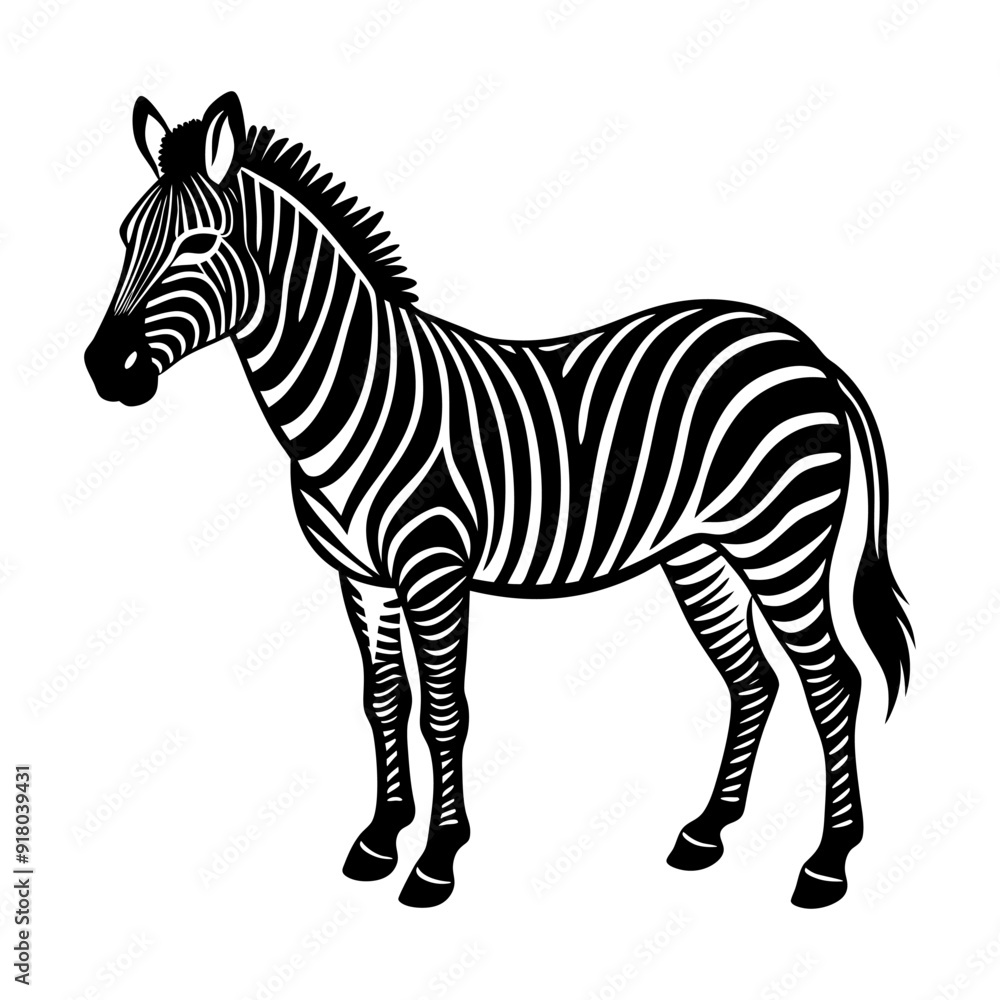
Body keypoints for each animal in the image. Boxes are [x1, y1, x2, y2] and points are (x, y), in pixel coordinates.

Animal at [84, 93, 913, 909]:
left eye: (200, 242)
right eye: (125, 235)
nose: (103, 368)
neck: (357, 396)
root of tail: (806, 349)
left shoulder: (434, 568)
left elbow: (443, 710)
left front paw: (436, 861)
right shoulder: (361, 579)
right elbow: (383, 701)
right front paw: (380, 840)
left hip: (782, 543)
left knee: (831, 681)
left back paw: (827, 864)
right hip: (700, 553)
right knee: (754, 679)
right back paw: (706, 833)